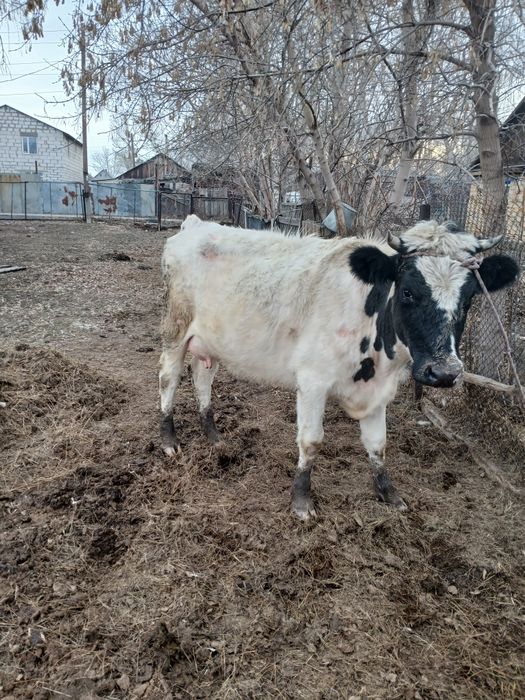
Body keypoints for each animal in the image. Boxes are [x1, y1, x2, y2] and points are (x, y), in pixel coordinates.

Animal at [159, 215, 518, 520]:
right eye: (407, 291)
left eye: (469, 298)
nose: (444, 372)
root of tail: (196, 224)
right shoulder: (312, 381)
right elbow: (311, 441)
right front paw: (301, 501)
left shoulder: (380, 390)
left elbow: (378, 444)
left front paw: (389, 493)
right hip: (175, 329)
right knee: (169, 378)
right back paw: (169, 440)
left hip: (211, 341)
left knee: (202, 378)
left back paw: (214, 436)